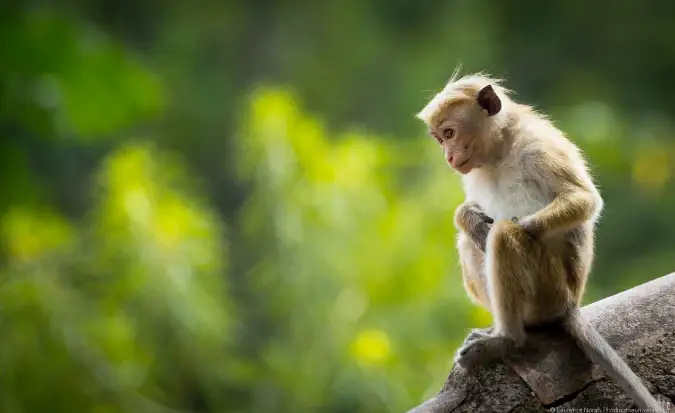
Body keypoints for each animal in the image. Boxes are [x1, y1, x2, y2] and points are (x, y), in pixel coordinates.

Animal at [418, 71, 664, 412]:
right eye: (441, 139)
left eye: (449, 132)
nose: (449, 157)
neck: (499, 150)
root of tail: (570, 305)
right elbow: (472, 215)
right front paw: (468, 217)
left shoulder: (538, 149)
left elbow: (584, 201)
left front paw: (508, 226)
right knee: (470, 242)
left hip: (550, 290)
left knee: (504, 238)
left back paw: (507, 338)